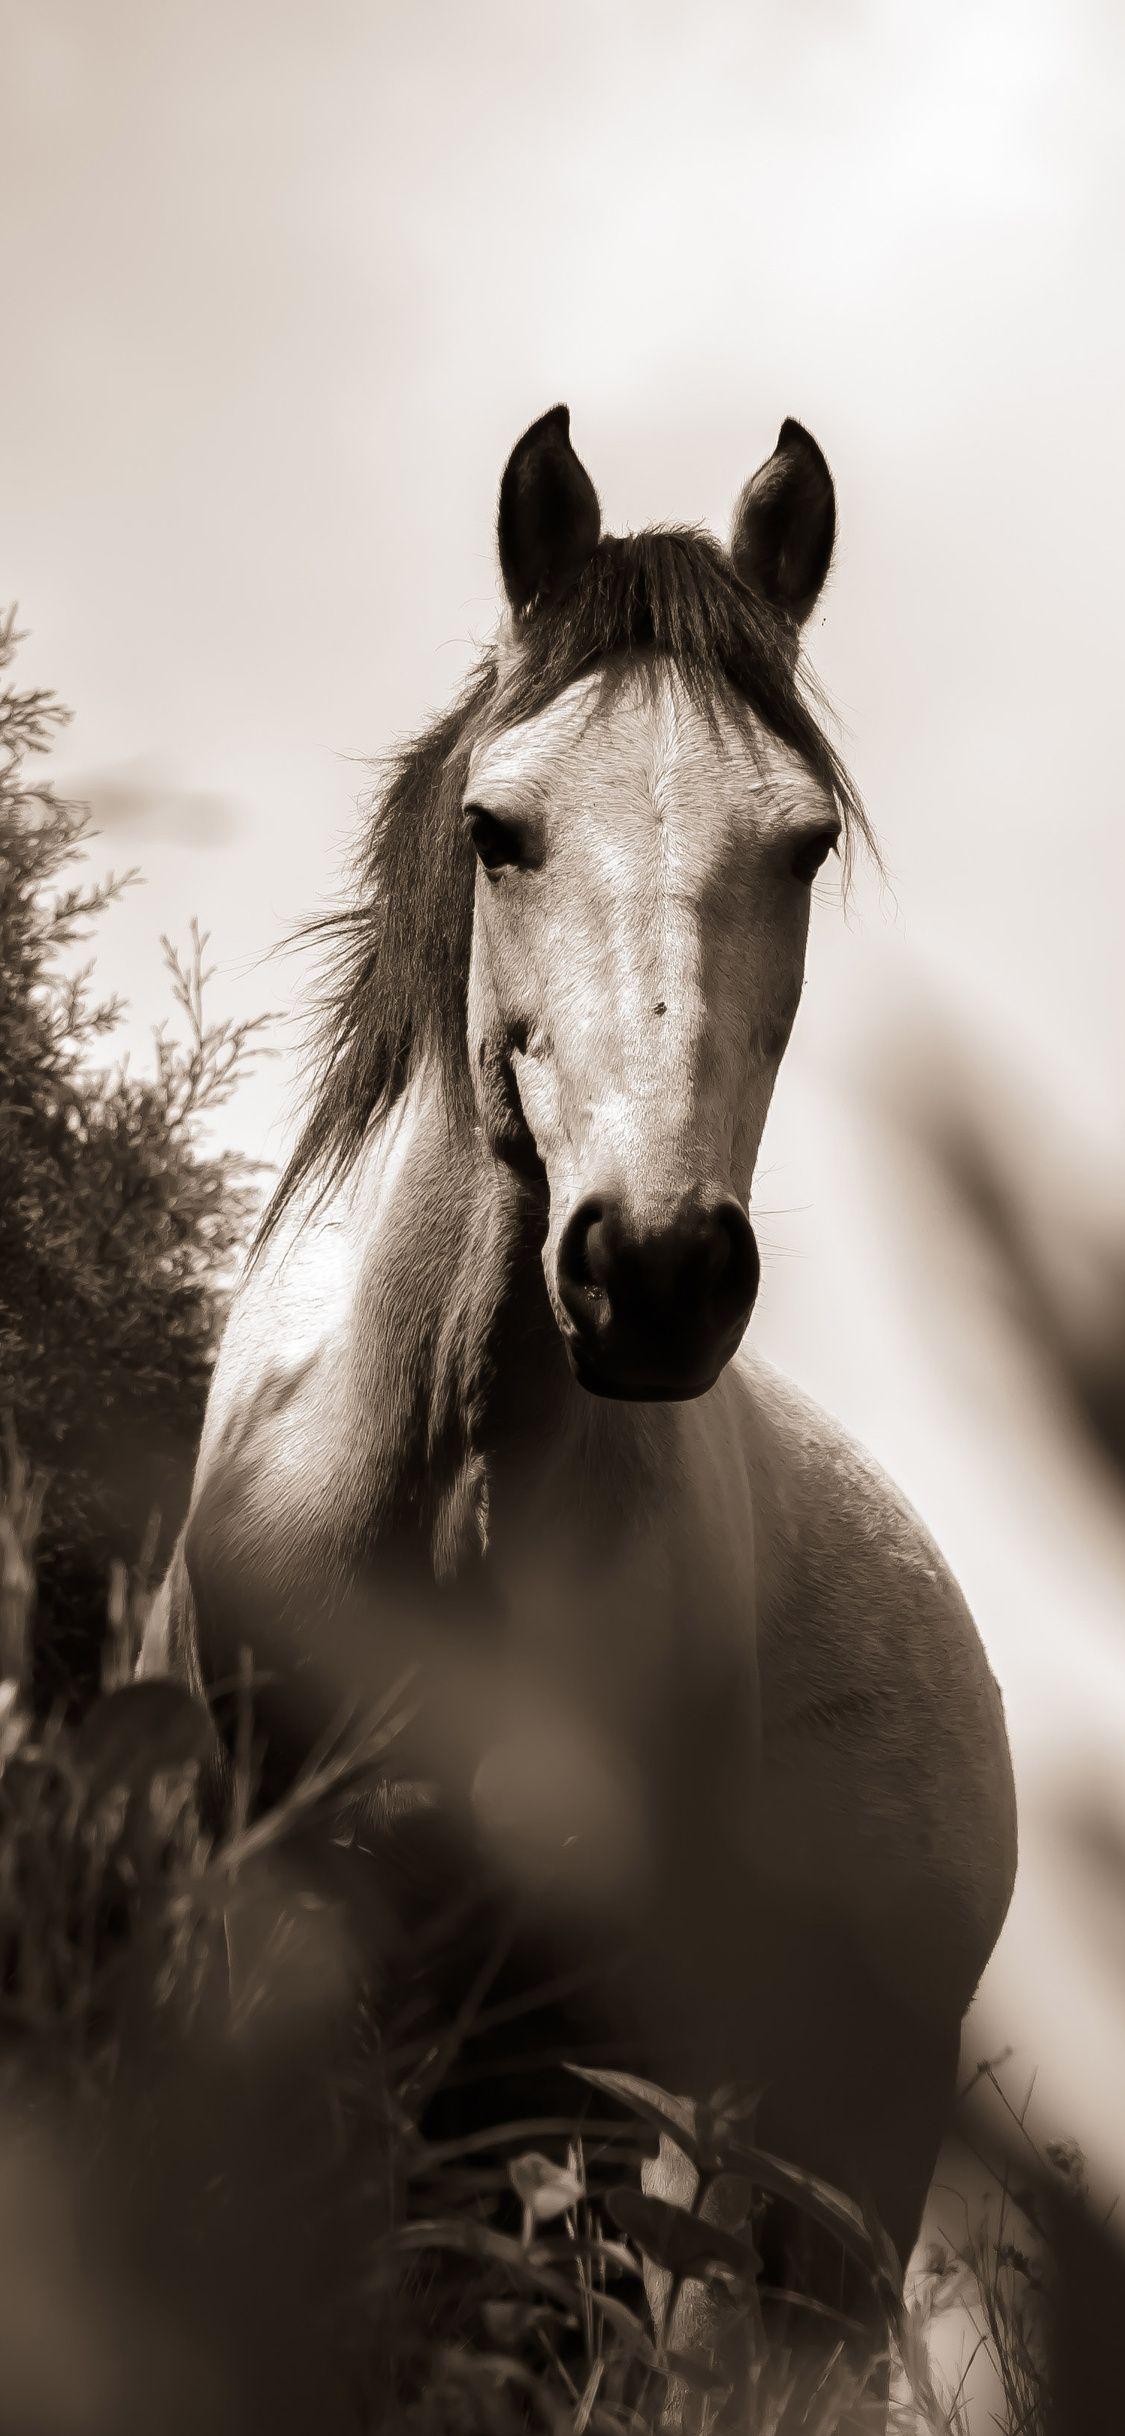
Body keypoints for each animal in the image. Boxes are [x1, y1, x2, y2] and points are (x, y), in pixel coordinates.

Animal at [141, 405, 1017, 2412]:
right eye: (500, 830)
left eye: (801, 844)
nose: (657, 1268)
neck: (438, 1488)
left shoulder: (563, 2039)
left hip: (829, 2145)